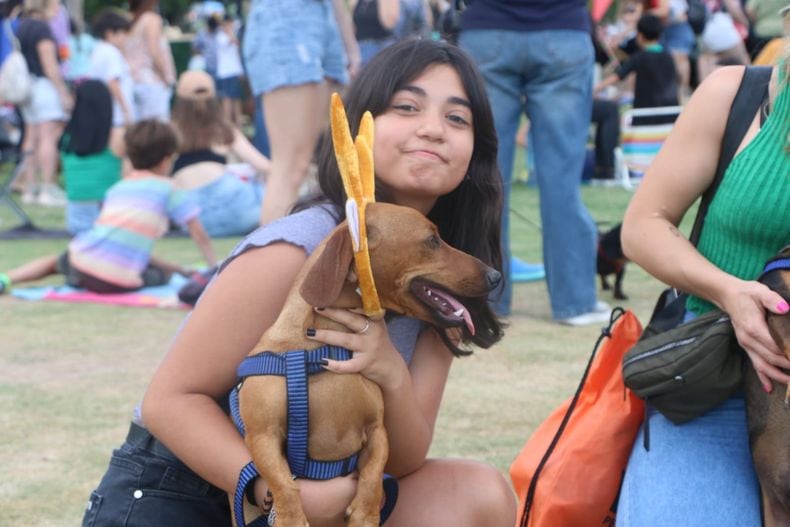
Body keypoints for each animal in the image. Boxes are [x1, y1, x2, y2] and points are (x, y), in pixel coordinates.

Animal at [235, 203, 504, 527]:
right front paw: (290, 517)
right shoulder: (262, 435)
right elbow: (283, 482)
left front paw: (367, 510)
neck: (324, 349)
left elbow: (375, 472)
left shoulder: (377, 431)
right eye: (432, 240)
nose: (496, 276)